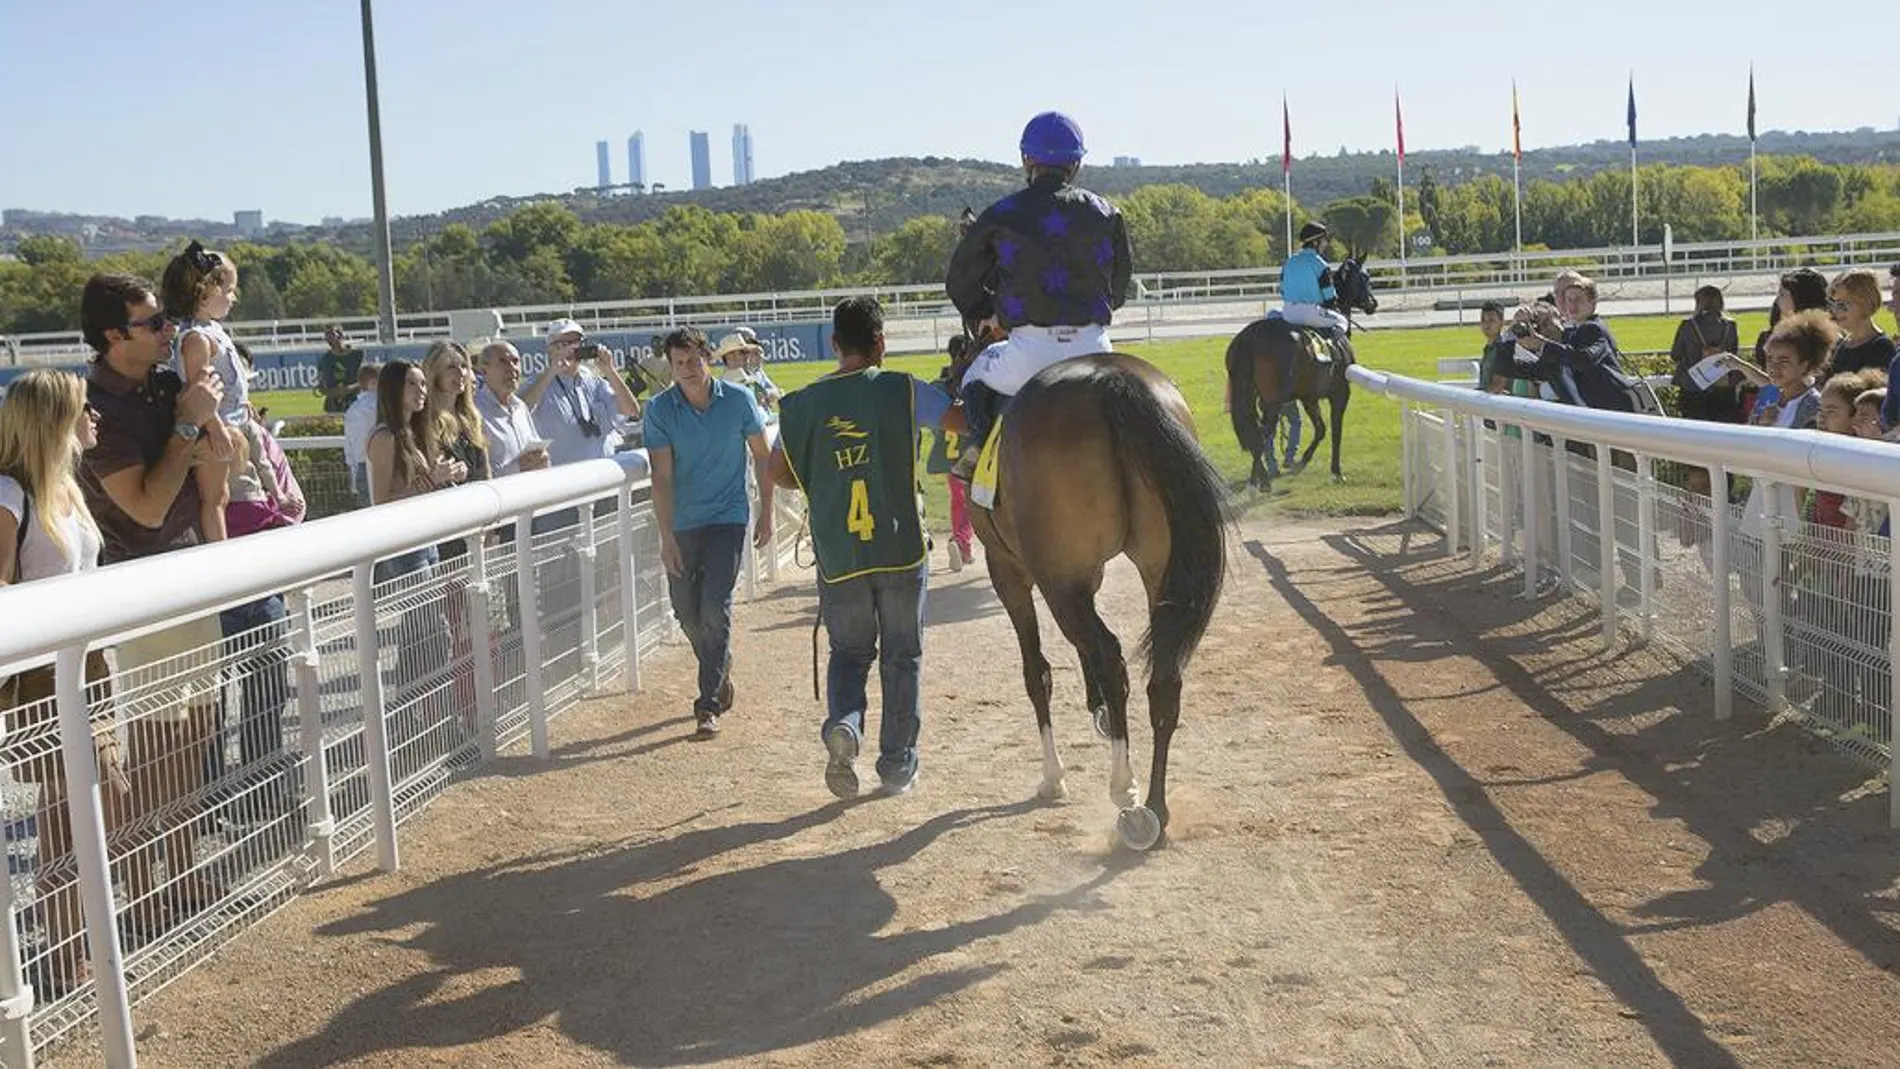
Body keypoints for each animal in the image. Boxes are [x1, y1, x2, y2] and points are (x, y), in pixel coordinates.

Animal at [1223, 260, 1375, 493]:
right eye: (1365, 277)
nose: (1373, 303)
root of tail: (1249, 338)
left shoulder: (1309, 397)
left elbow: (1320, 429)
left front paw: (1301, 461)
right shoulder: (1340, 393)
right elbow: (1335, 431)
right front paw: (1336, 472)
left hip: (1252, 397)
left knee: (1255, 432)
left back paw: (1260, 479)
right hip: (1272, 401)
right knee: (1262, 435)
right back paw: (1259, 482)